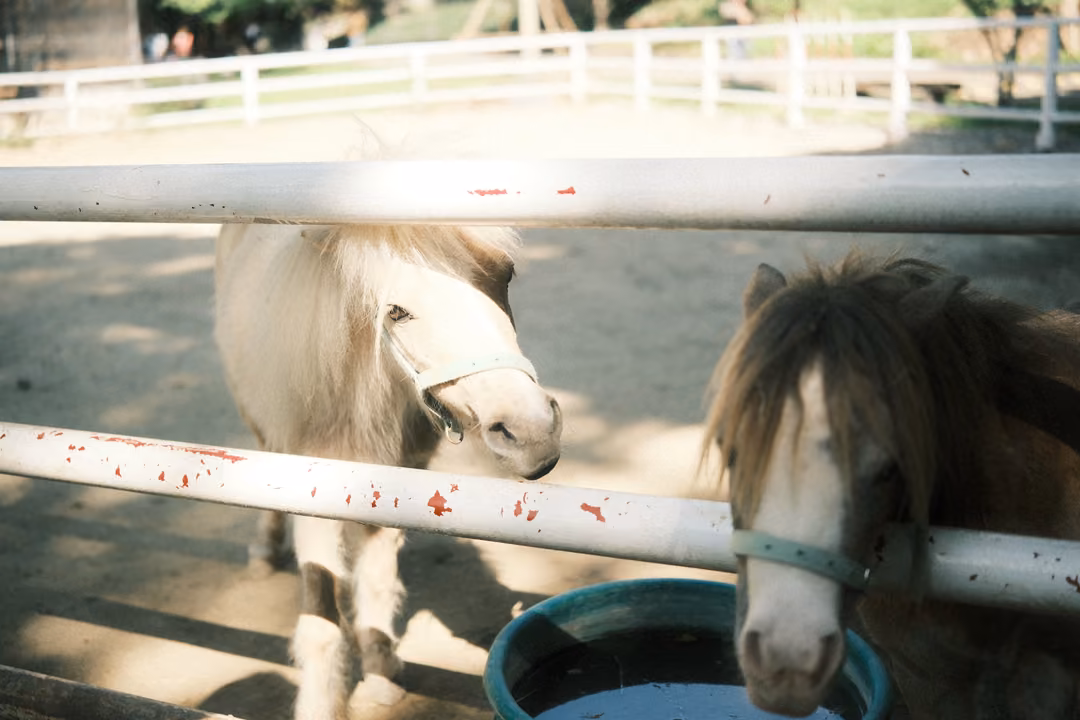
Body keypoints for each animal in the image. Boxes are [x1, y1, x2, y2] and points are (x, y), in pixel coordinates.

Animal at [214, 222, 562, 720]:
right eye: (397, 312)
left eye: (506, 274)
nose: (532, 434)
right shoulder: (310, 500)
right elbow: (320, 620)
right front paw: (321, 704)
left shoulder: (392, 487)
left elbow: (376, 584)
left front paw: (379, 677)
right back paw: (264, 550)